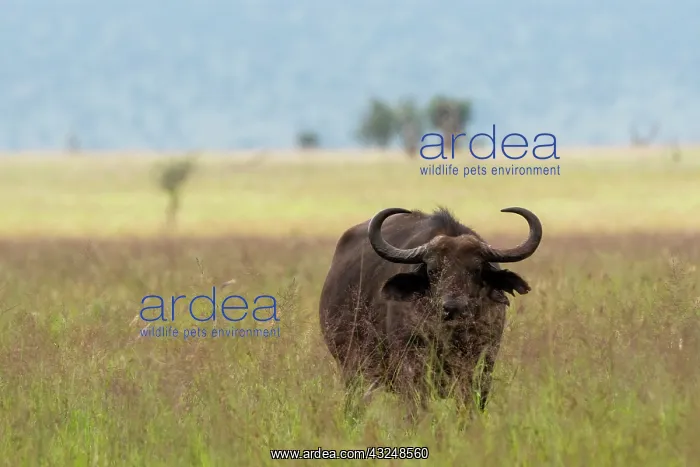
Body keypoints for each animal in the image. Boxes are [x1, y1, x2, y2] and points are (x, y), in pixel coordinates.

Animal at [318, 206, 542, 418]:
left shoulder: (483, 362)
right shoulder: (410, 365)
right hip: (351, 368)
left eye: (476, 270)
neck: (450, 337)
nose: (453, 308)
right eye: (433, 271)